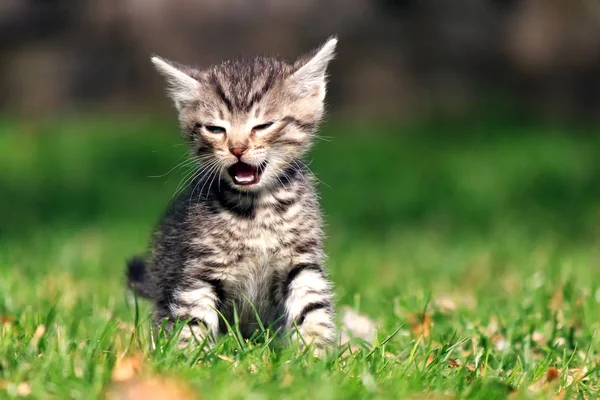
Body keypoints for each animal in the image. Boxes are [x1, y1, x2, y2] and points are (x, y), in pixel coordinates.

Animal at [127, 36, 338, 350]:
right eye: (216, 129)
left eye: (263, 126)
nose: (237, 149)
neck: (257, 208)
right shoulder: (203, 266)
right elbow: (194, 314)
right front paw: (189, 355)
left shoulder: (301, 258)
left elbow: (311, 304)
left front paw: (315, 353)